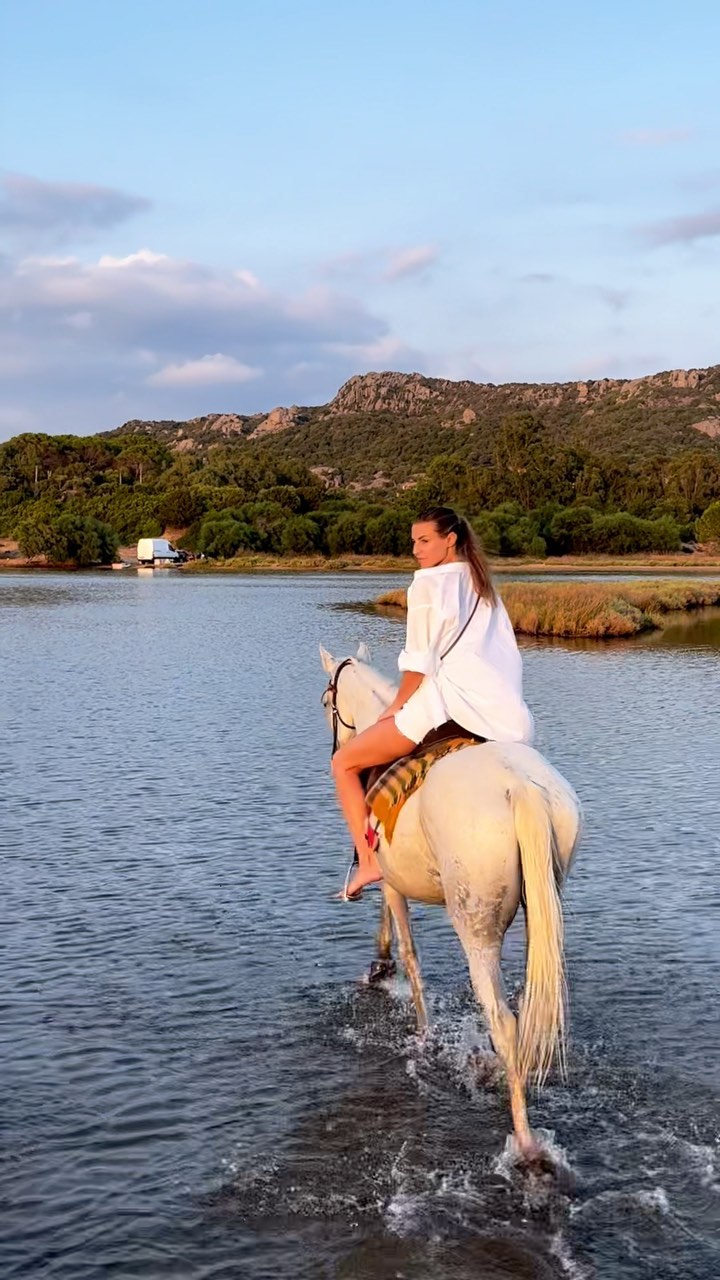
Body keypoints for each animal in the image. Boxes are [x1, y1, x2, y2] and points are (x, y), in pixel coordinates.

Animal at [320, 642, 582, 1163]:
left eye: (325, 702)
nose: (337, 749)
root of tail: (519, 788)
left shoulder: (391, 880)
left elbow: (410, 954)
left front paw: (419, 1028)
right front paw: (379, 965)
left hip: (474, 924)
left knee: (503, 1020)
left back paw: (525, 1142)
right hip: (543, 907)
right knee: (527, 1009)